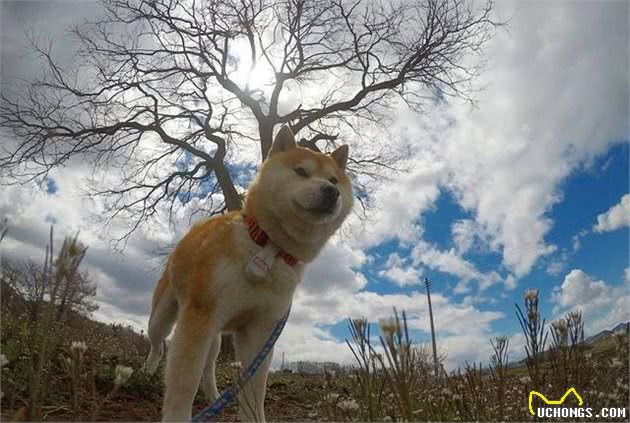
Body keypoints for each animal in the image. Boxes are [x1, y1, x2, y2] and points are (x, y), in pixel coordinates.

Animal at [146, 127, 356, 422]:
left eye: (334, 180)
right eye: (301, 172)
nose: (331, 191)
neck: (268, 248)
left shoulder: (260, 331)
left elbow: (254, 392)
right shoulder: (199, 317)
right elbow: (184, 384)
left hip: (214, 336)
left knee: (208, 368)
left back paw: (214, 397)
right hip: (165, 317)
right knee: (159, 344)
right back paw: (148, 370)